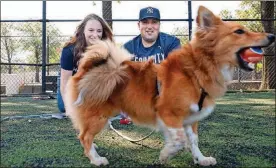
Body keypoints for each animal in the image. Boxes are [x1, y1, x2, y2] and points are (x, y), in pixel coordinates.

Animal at [64, 5, 274, 167]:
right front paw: (166, 155)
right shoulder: (168, 114)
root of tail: (88, 67)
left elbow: (193, 141)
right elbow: (179, 140)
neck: (196, 70)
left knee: (83, 133)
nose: (272, 36)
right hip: (98, 116)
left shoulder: (190, 119)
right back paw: (96, 158)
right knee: (84, 136)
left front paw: (201, 159)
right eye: (239, 31)